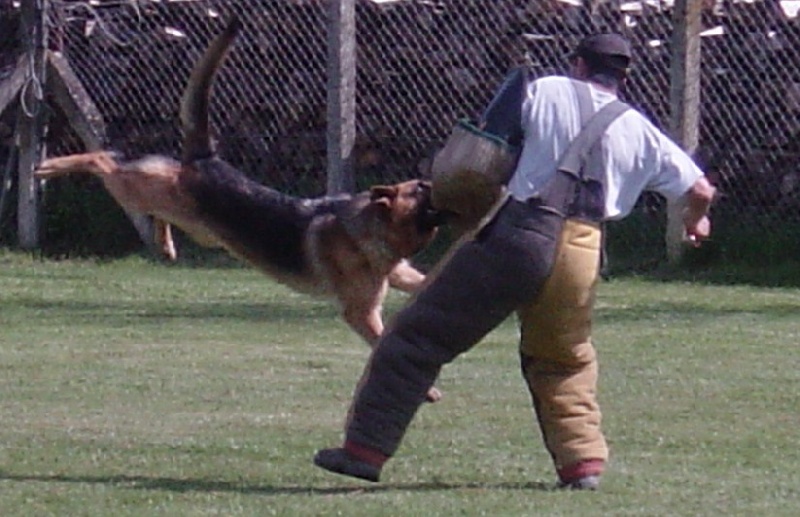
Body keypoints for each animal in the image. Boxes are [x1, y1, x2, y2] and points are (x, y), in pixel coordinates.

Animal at [36, 16, 444, 396]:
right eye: (420, 190)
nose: (437, 180)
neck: (369, 227)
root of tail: (206, 159)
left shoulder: (401, 274)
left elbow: (421, 283)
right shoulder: (362, 312)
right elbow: (383, 341)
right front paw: (427, 389)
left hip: (190, 220)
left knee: (150, 205)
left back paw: (165, 244)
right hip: (146, 190)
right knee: (105, 159)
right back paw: (48, 166)